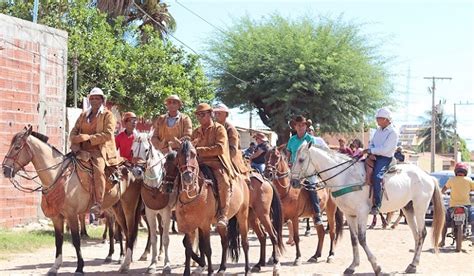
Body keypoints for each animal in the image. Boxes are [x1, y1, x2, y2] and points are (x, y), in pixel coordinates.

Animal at [2, 127, 143, 274]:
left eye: (17, 147)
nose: (5, 170)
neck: (58, 175)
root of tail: (134, 169)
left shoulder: (71, 215)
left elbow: (76, 240)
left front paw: (80, 267)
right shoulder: (57, 217)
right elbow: (58, 241)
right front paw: (55, 267)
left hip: (129, 207)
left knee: (130, 232)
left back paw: (125, 264)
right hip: (116, 208)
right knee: (124, 232)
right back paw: (125, 259)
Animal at [131, 132, 176, 274]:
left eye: (146, 149)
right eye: (132, 150)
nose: (137, 171)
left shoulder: (166, 212)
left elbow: (166, 238)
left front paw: (167, 265)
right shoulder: (150, 212)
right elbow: (154, 237)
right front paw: (152, 264)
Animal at [168, 140, 252, 276]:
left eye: (194, 154)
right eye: (178, 156)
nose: (187, 176)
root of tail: (242, 179)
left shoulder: (205, 225)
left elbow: (207, 248)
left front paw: (209, 270)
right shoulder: (188, 226)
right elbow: (188, 248)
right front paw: (188, 271)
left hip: (242, 215)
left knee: (245, 243)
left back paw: (247, 269)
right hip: (220, 223)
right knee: (224, 242)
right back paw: (222, 268)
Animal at [288, 141, 444, 274]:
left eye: (301, 159)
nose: (293, 182)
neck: (346, 177)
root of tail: (428, 176)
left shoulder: (362, 213)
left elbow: (362, 239)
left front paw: (377, 267)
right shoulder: (349, 214)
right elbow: (354, 239)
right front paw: (352, 266)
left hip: (420, 208)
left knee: (422, 233)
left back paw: (413, 265)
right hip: (408, 208)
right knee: (417, 235)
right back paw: (412, 264)